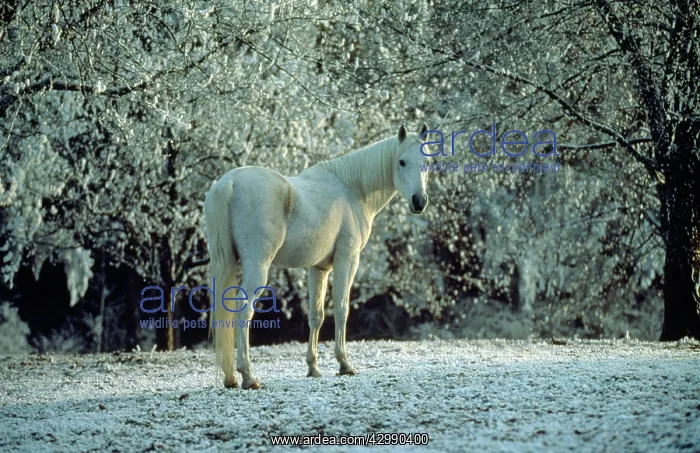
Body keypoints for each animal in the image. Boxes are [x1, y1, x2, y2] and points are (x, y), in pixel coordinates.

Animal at [204, 123, 430, 389]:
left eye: (426, 162)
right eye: (402, 162)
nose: (419, 201)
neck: (352, 188)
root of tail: (228, 183)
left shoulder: (318, 268)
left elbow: (316, 315)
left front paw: (313, 367)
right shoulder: (347, 260)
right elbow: (342, 310)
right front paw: (344, 364)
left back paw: (230, 378)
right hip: (257, 267)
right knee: (244, 311)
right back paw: (248, 376)